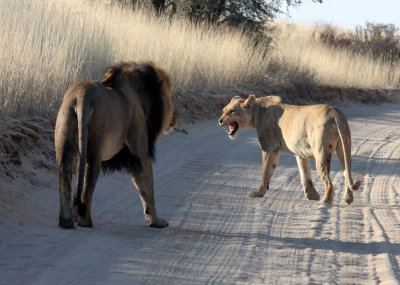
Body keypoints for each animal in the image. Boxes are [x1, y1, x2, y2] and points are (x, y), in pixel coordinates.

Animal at [55, 61, 177, 227]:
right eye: (170, 97)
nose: (176, 115)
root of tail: (82, 95)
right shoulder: (139, 151)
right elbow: (147, 188)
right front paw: (156, 221)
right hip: (95, 145)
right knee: (87, 186)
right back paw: (85, 221)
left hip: (66, 136)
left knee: (65, 177)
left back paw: (66, 221)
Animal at [219, 94, 362, 203]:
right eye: (223, 110)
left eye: (231, 111)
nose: (220, 120)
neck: (257, 112)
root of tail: (335, 113)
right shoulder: (300, 154)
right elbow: (305, 176)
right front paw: (312, 196)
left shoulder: (270, 148)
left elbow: (265, 172)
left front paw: (258, 193)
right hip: (344, 148)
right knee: (347, 172)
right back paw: (348, 198)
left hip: (321, 152)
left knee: (329, 182)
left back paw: (325, 201)